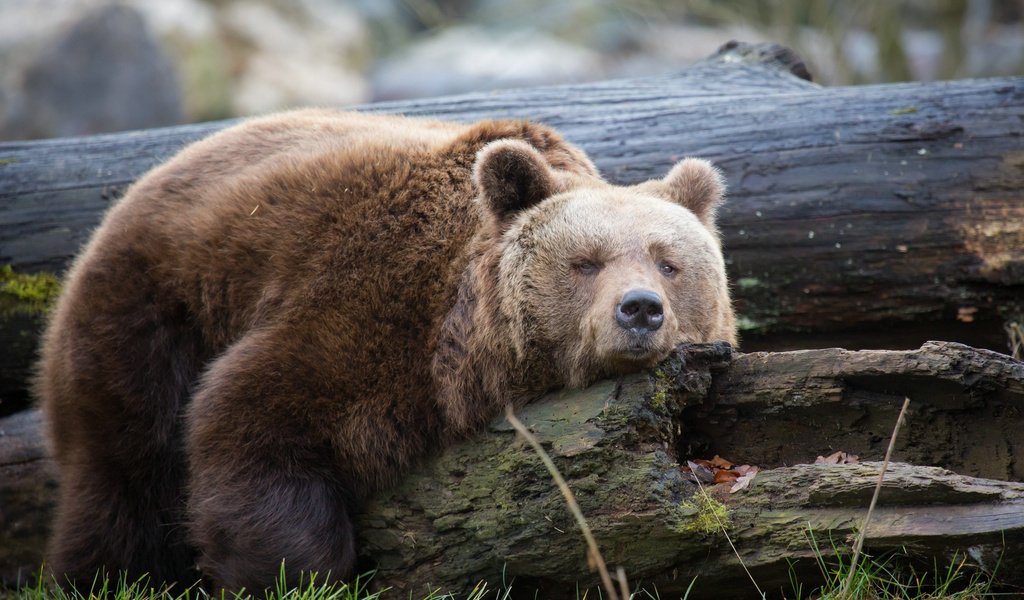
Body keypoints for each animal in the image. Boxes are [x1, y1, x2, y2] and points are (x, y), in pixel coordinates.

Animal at [34, 107, 737, 589]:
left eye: (669, 262)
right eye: (585, 262)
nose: (639, 309)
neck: (464, 347)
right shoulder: (363, 309)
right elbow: (250, 420)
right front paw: (291, 572)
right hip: (149, 317)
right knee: (124, 479)